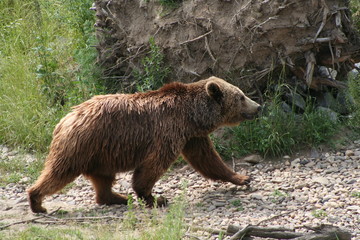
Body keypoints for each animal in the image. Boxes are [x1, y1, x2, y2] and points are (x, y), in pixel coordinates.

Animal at [27, 76, 258, 213]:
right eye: (241, 96)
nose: (258, 107)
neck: (192, 116)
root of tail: (65, 119)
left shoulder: (192, 137)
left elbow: (208, 160)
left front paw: (242, 177)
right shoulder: (168, 131)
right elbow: (153, 165)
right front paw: (155, 198)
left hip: (101, 152)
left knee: (103, 178)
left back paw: (116, 197)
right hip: (82, 144)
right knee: (60, 172)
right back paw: (37, 201)